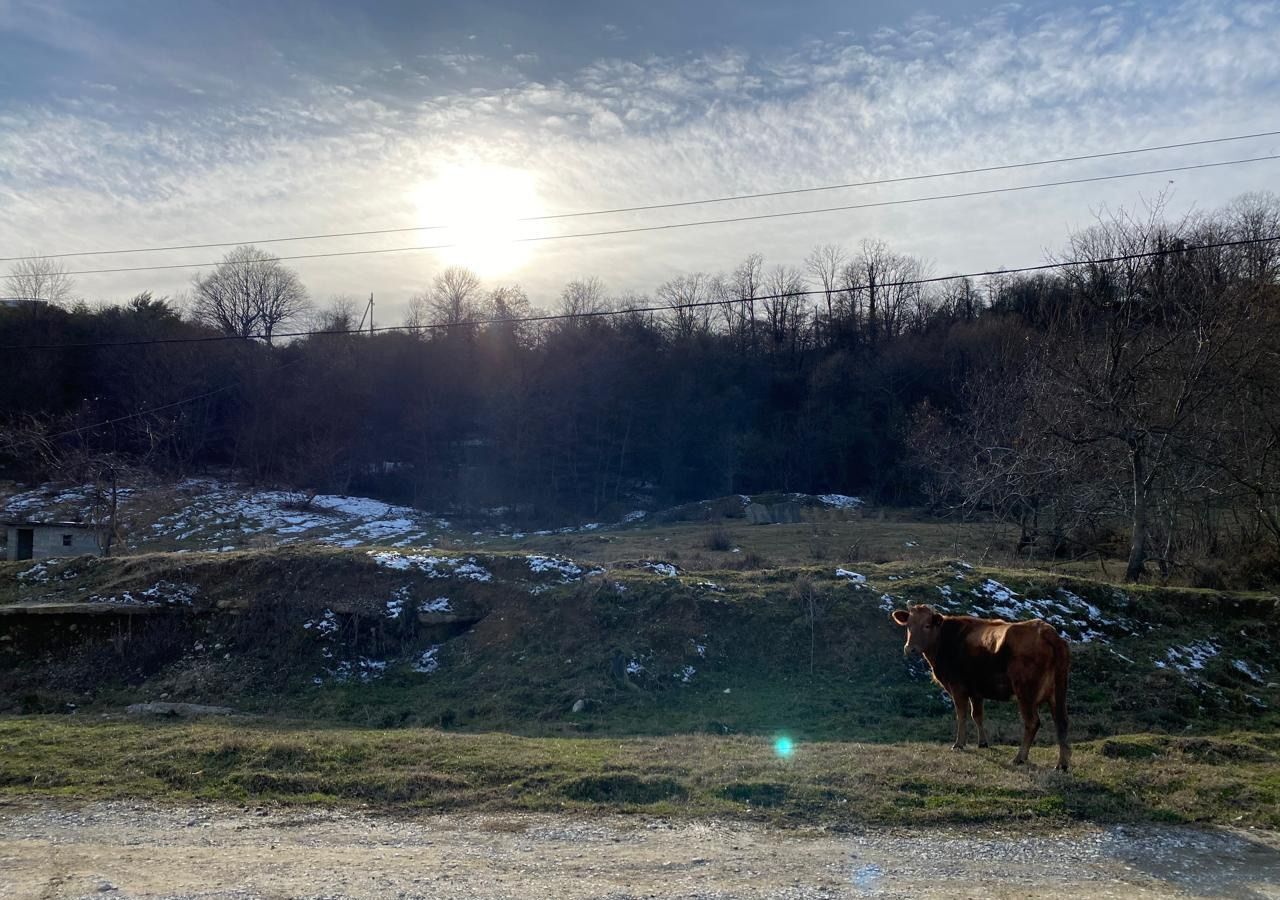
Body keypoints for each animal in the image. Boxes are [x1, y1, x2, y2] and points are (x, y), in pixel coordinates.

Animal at [890, 604, 1070, 773]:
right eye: (908, 625)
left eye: (927, 625)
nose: (910, 648)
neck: (945, 639)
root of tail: (1046, 630)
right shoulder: (976, 691)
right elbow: (977, 715)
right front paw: (982, 743)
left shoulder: (957, 687)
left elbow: (961, 715)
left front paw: (959, 744)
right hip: (1057, 693)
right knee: (1061, 722)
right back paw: (1061, 764)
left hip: (1025, 693)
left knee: (1032, 722)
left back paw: (1020, 757)